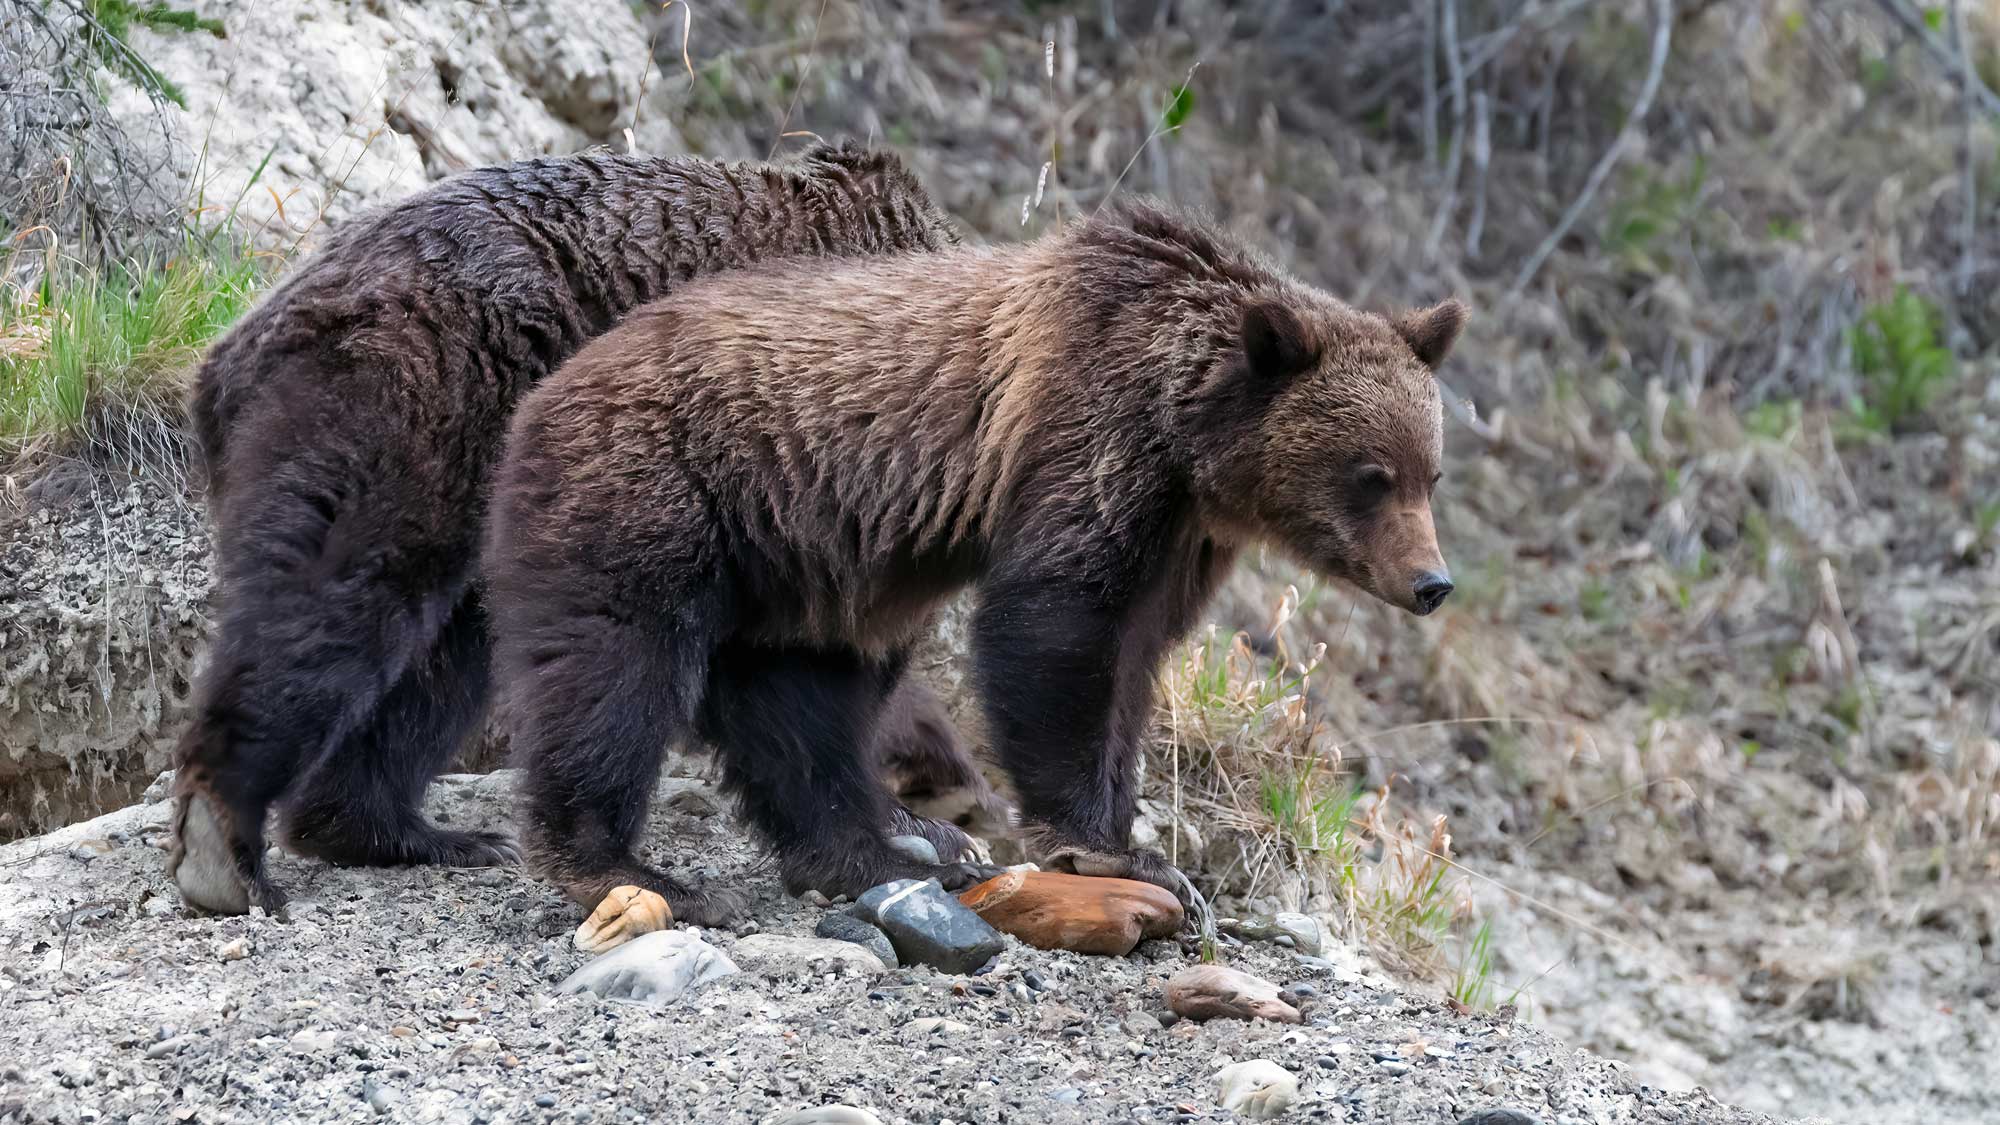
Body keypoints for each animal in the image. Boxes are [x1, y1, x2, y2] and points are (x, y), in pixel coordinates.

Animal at [169, 141, 1003, 920]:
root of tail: (234, 344)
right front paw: (916, 821)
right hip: (414, 389)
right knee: (341, 583)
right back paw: (227, 842)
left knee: (446, 652)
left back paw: (410, 830)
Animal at [480, 197, 1464, 923]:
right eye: (1371, 475)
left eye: (1430, 470)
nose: (1432, 582)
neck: (1189, 433)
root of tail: (543, 393)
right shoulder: (1089, 429)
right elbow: (1059, 621)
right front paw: (1109, 844)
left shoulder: (1181, 532)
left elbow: (1133, 657)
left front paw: (1140, 843)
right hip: (658, 487)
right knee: (617, 668)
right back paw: (625, 867)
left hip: (794, 567)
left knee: (803, 704)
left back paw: (877, 849)